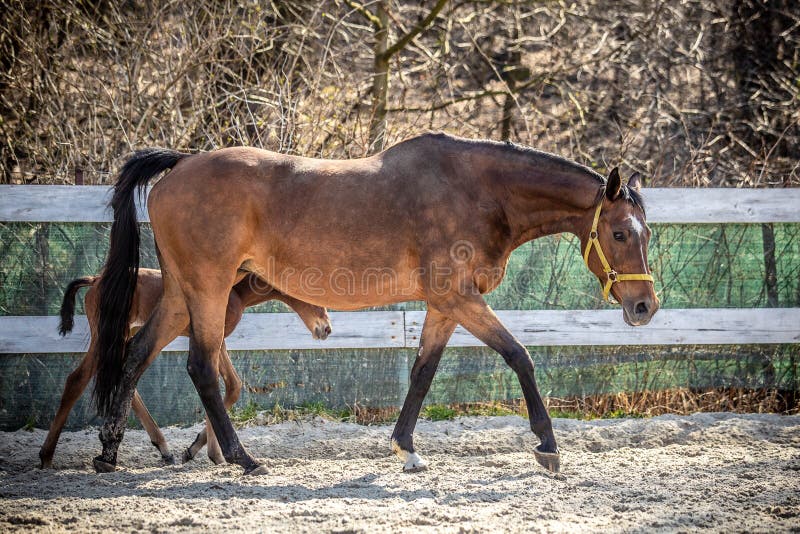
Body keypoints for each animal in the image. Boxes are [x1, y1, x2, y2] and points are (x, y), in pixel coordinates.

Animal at [39, 268, 328, 468]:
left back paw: (162, 448)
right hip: (109, 336)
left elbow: (231, 385)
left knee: (124, 375)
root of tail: (96, 278)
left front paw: (206, 452)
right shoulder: (215, 338)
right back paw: (47, 456)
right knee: (78, 379)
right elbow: (229, 386)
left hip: (123, 334)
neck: (235, 291)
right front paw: (209, 452)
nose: (326, 328)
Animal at [92, 134, 656, 478]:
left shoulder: (444, 304)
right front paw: (547, 446)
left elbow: (423, 372)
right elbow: (520, 355)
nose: (645, 306)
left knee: (137, 354)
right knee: (201, 367)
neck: (478, 191)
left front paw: (406, 448)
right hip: (207, 290)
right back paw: (242, 458)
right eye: (620, 233)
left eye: (646, 233)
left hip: (181, 294)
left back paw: (110, 452)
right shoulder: (458, 297)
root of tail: (180, 164)